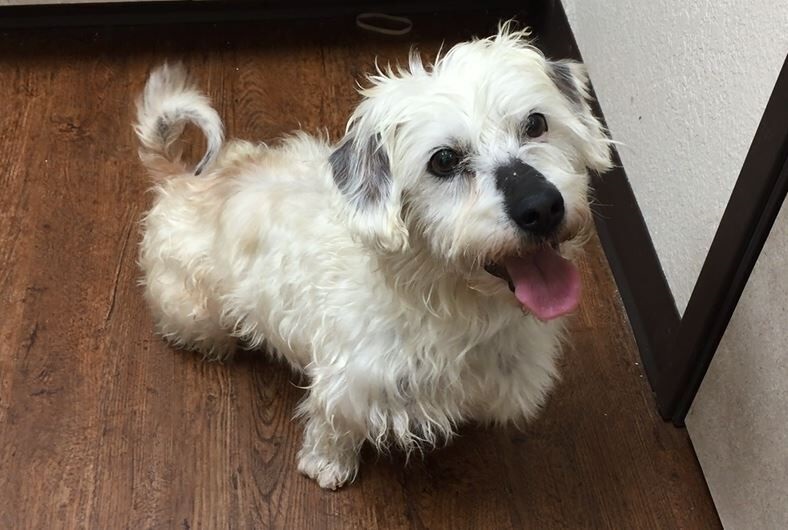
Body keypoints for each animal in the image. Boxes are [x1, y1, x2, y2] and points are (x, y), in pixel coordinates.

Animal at [134, 23, 612, 489]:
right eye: (443, 160)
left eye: (535, 123)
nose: (541, 207)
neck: (452, 306)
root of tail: (183, 179)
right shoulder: (348, 381)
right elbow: (333, 426)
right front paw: (327, 464)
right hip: (194, 312)